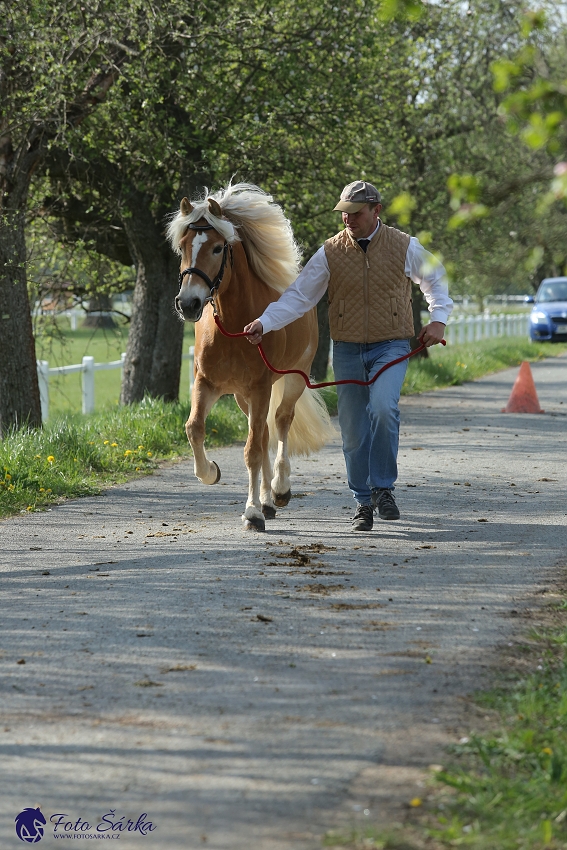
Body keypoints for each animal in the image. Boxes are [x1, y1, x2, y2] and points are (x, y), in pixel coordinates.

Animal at [166, 183, 336, 528]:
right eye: (183, 246)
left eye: (218, 248)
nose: (188, 303)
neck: (234, 327)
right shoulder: (207, 384)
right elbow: (194, 429)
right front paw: (211, 472)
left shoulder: (260, 387)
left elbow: (253, 451)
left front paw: (252, 512)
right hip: (242, 396)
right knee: (265, 431)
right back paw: (269, 500)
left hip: (290, 380)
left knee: (281, 422)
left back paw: (279, 490)